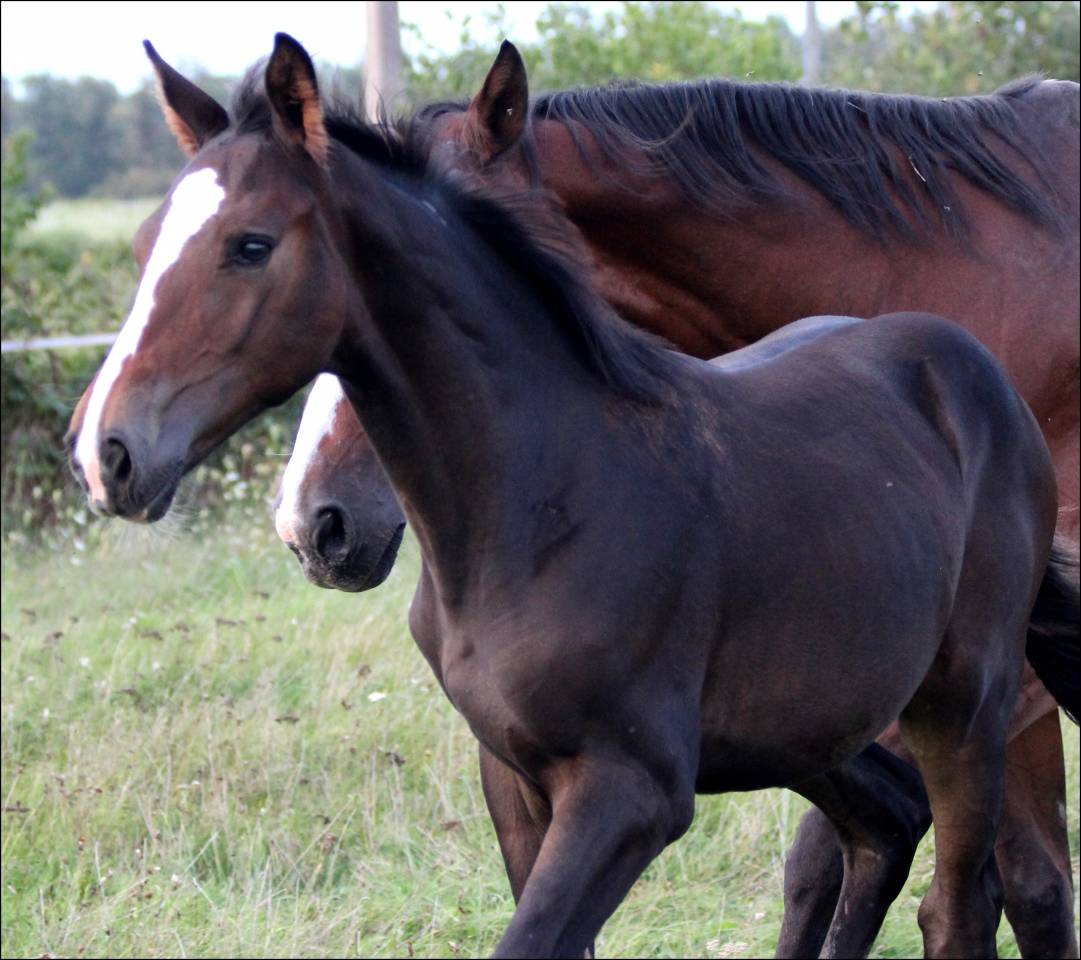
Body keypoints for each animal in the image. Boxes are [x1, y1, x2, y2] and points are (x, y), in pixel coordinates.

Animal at [66, 35, 1080, 959]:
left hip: (964, 703)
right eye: (145, 245)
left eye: (251, 245)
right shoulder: (515, 780)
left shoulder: (632, 792)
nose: (106, 452)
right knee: (880, 834)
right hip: (813, 725)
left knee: (960, 903)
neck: (541, 497)